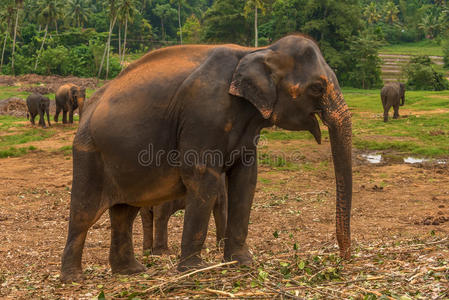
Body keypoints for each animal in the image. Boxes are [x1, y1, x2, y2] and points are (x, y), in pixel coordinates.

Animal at [60, 35, 354, 284]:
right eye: (317, 88)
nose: (344, 258)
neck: (259, 50)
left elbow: (247, 179)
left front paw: (242, 262)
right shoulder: (203, 114)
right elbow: (203, 177)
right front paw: (195, 269)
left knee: (124, 212)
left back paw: (131, 271)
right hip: (89, 152)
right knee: (84, 213)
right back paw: (73, 278)